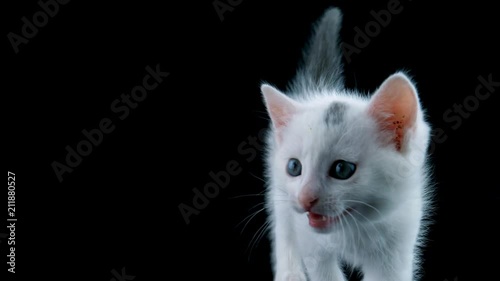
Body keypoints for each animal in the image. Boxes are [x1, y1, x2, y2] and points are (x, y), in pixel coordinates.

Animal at [262, 7, 434, 280]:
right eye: (294, 167)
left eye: (342, 169)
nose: (305, 198)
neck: (353, 229)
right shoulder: (311, 242)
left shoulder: (398, 244)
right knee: (283, 225)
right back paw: (289, 273)